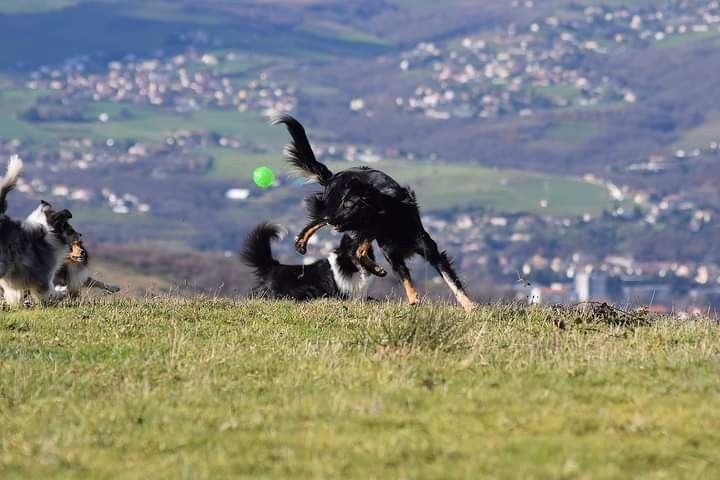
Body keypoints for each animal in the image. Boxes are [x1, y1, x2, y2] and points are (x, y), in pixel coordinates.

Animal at [0, 158, 78, 308]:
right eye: (68, 227)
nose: (80, 235)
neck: (49, 230)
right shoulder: (44, 275)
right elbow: (48, 290)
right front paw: (60, 293)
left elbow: (15, 294)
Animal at [272, 115, 476, 314]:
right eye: (344, 202)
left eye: (349, 204)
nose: (332, 219)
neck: (392, 219)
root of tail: (334, 176)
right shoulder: (391, 253)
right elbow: (405, 278)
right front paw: (414, 300)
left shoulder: (429, 250)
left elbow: (452, 280)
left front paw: (469, 306)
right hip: (343, 217)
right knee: (320, 222)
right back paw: (301, 242)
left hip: (357, 225)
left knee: (355, 247)